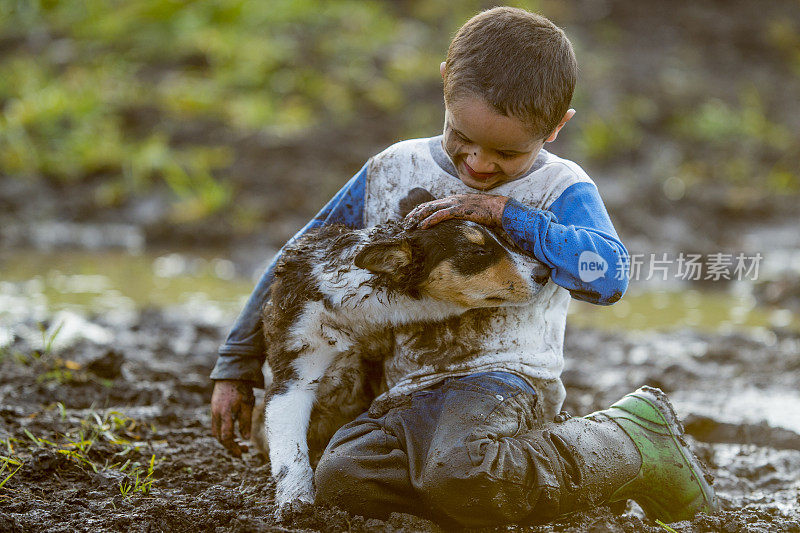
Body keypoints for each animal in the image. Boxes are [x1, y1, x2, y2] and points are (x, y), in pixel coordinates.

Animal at [256, 189, 552, 512]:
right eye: (477, 252)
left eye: (504, 237)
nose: (545, 271)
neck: (353, 304)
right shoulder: (293, 375)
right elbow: (290, 450)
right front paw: (295, 500)